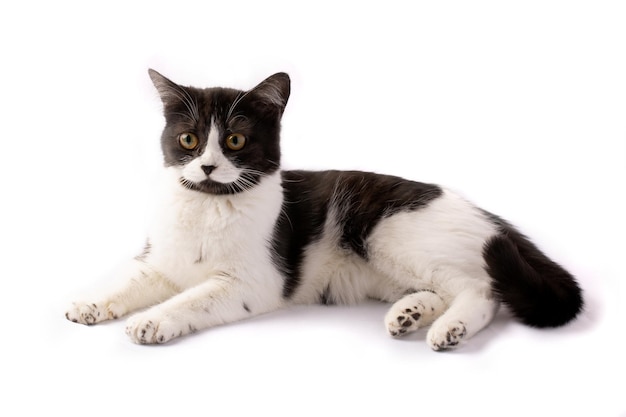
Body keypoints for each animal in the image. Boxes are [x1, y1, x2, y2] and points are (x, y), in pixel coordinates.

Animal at [66, 70, 584, 350]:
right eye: (189, 139)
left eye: (235, 140)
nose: (208, 166)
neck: (208, 206)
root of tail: (489, 218)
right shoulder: (158, 261)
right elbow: (127, 279)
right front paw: (88, 302)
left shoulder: (253, 283)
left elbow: (190, 299)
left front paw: (151, 321)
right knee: (444, 288)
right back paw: (409, 314)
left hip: (390, 234)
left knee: (483, 289)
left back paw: (448, 331)